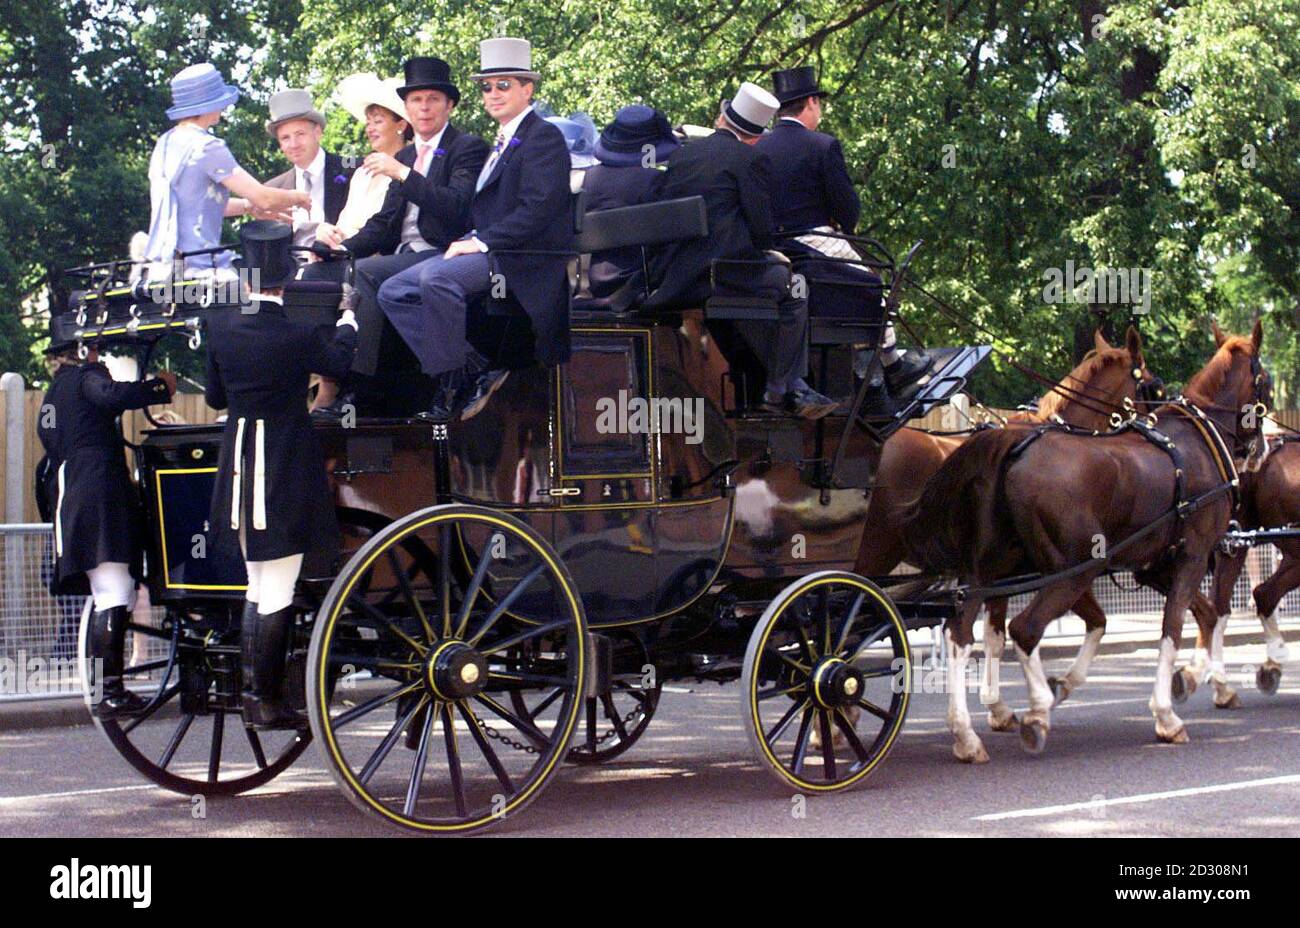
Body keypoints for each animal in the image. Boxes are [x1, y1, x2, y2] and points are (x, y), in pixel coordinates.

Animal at [909, 322, 1263, 753]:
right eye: (1153, 386)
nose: (1259, 449)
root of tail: (1011, 449)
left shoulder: (1151, 566)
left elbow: (1199, 616)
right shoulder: (1189, 556)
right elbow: (1171, 627)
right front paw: (1166, 713)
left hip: (990, 569)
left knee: (960, 633)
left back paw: (967, 732)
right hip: (1073, 570)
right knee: (1024, 629)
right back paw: (1035, 712)